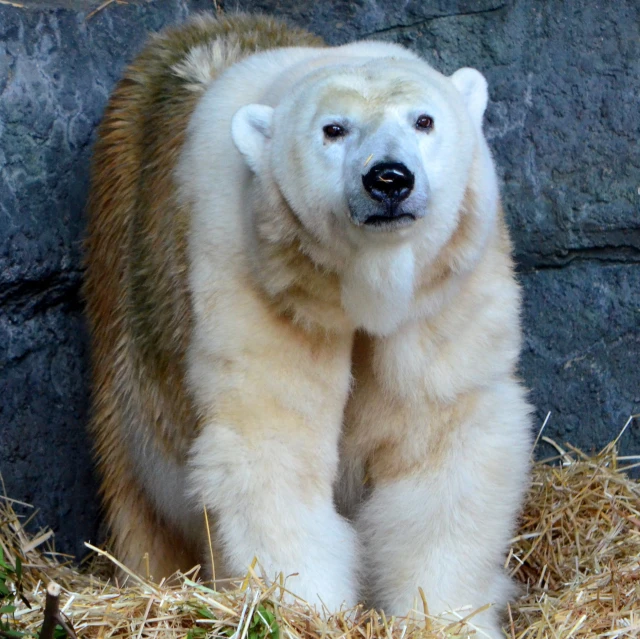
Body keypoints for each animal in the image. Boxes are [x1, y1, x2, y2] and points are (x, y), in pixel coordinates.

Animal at [87, 11, 532, 639]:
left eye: (424, 120)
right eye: (333, 129)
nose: (388, 179)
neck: (364, 282)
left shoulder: (443, 289)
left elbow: (442, 436)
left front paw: (443, 615)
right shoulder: (255, 268)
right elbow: (271, 435)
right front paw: (303, 610)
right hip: (122, 216)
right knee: (128, 451)